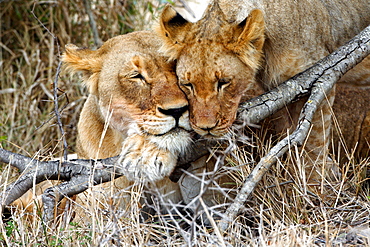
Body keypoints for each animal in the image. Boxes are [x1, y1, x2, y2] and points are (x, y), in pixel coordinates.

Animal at [158, 0, 370, 185]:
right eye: (188, 85)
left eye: (223, 83)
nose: (205, 128)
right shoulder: (282, 90)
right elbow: (286, 134)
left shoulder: (321, 75)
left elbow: (314, 142)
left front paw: (315, 187)